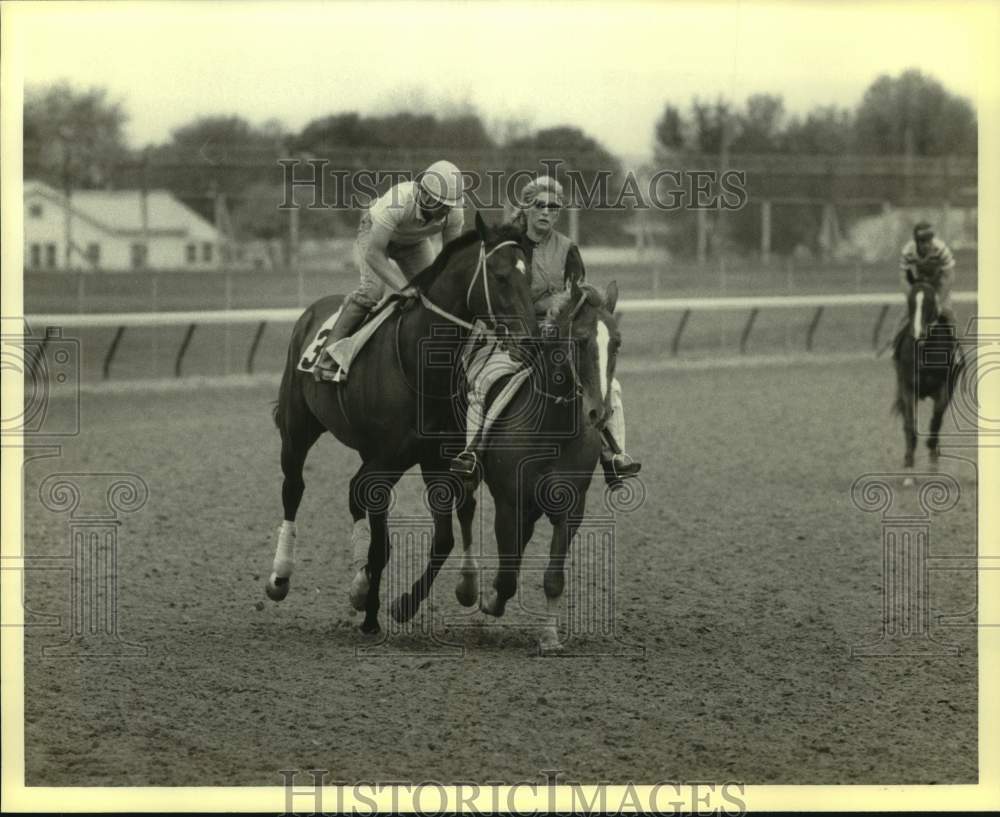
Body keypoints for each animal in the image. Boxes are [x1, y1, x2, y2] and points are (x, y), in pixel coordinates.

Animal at [262, 214, 536, 636]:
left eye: (530, 274)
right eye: (501, 276)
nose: (533, 337)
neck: (418, 363)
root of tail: (313, 310)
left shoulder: (434, 460)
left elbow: (441, 539)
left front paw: (402, 604)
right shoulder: (386, 464)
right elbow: (381, 546)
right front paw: (372, 617)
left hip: (369, 453)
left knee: (352, 492)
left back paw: (359, 586)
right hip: (297, 431)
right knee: (294, 490)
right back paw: (280, 577)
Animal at [394, 278, 620, 648]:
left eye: (616, 342)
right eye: (581, 340)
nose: (598, 412)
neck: (553, 431)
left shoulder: (571, 507)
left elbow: (552, 576)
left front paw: (549, 636)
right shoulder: (509, 503)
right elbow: (508, 573)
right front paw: (490, 601)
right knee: (465, 514)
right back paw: (442, 594)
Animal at [896, 280, 964, 478]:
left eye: (930, 302)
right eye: (910, 301)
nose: (918, 333)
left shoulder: (943, 390)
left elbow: (936, 422)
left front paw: (933, 461)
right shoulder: (908, 389)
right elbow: (910, 427)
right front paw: (909, 471)